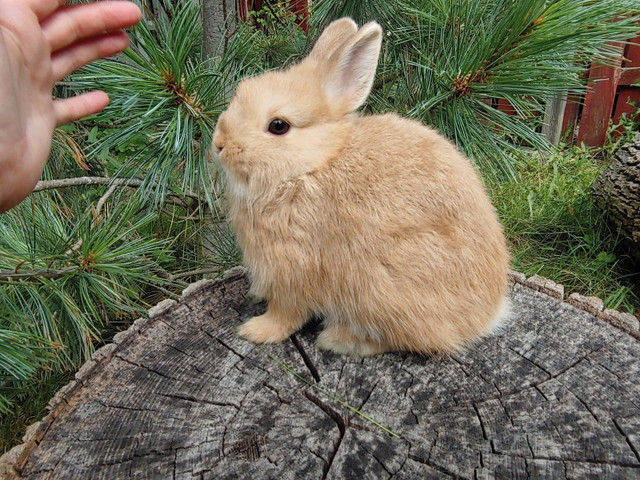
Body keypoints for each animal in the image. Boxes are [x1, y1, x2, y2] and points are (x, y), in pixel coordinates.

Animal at [214, 17, 510, 356]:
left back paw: (339, 340)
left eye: (278, 126)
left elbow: (286, 314)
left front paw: (255, 331)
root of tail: (489, 315)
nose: (219, 145)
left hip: (381, 289)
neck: (308, 168)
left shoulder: (294, 272)